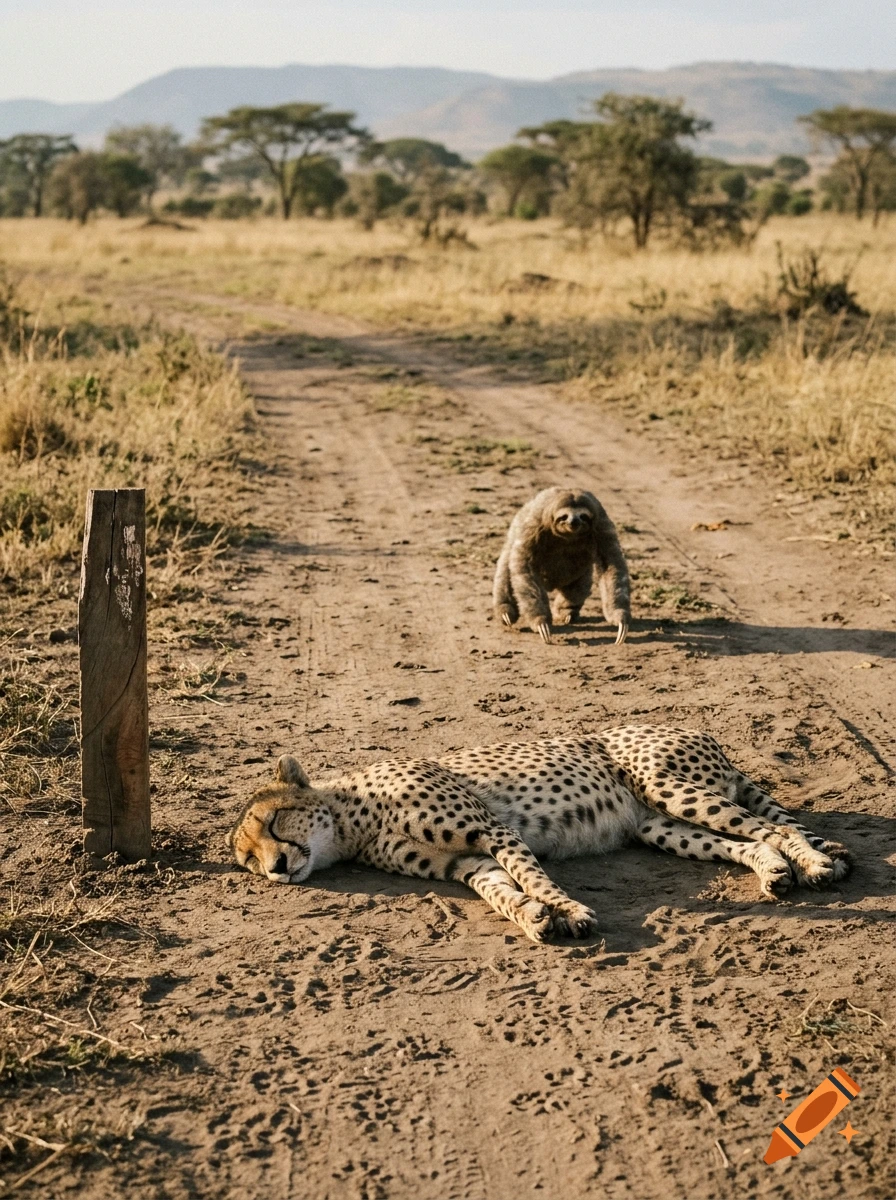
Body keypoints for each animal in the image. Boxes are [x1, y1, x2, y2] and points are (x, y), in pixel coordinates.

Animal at [227, 725, 851, 943]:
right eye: (249, 861)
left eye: (272, 823)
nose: (277, 868)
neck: (351, 819)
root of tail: (700, 730)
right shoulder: (466, 862)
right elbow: (500, 892)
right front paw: (532, 918)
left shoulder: (491, 829)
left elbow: (533, 876)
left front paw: (568, 912)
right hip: (659, 824)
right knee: (752, 840)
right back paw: (775, 872)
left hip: (667, 784)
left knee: (774, 825)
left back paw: (814, 866)